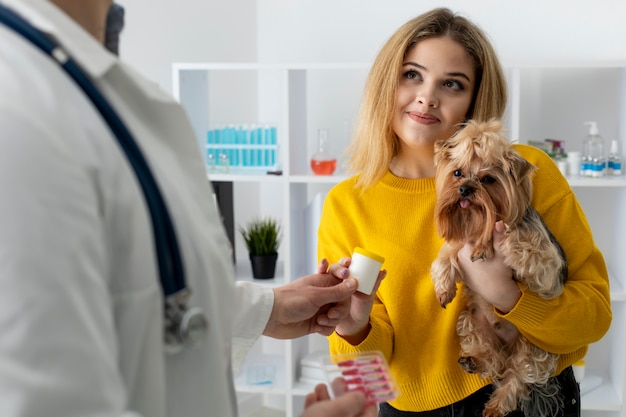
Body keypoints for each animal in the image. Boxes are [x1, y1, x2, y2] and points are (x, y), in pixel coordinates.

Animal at [428, 118, 564, 416]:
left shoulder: (545, 266)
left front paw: (487, 246)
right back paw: (475, 362)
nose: (465, 188)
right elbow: (445, 257)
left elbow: (517, 241)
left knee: (519, 374)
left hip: (535, 347)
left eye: (488, 179)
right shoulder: (459, 243)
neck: (478, 220)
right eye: (457, 173)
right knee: (496, 361)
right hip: (472, 322)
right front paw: (444, 288)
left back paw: (497, 405)